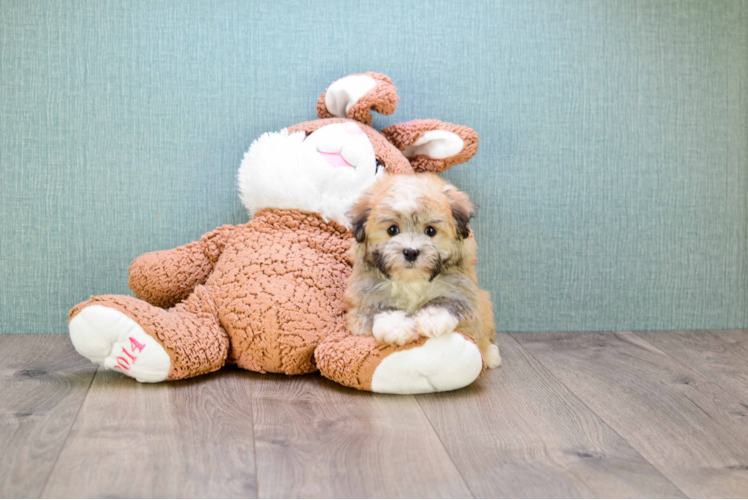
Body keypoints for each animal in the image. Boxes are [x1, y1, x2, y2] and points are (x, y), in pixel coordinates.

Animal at [346, 174, 502, 370]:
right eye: (392, 229)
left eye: (430, 231)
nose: (411, 252)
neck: (412, 281)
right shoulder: (362, 301)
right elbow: (377, 309)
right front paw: (397, 328)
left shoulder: (463, 292)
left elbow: (448, 302)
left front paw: (432, 319)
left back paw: (490, 354)